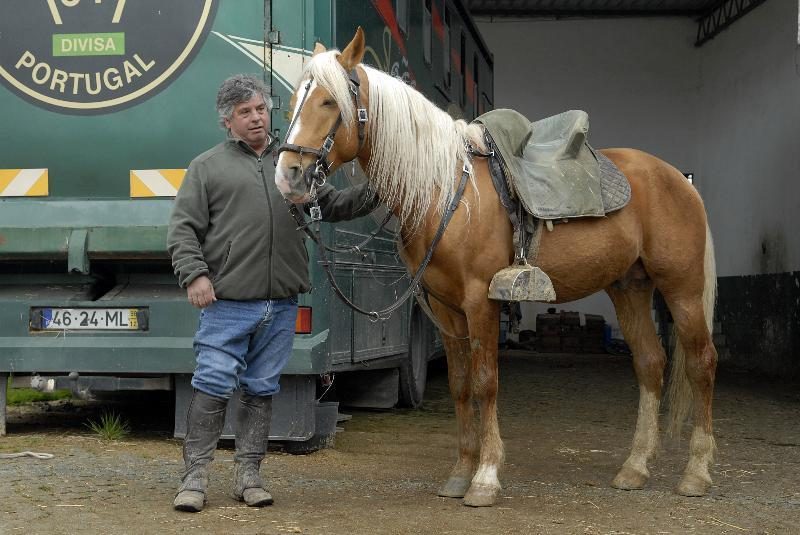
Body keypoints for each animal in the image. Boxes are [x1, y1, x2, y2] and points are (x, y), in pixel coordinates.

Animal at [276, 28, 720, 506]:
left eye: (328, 101)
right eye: (294, 101)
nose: (289, 176)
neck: (445, 189)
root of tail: (679, 180)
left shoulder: (479, 301)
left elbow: (485, 381)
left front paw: (485, 478)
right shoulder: (446, 308)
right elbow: (459, 384)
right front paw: (459, 474)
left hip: (681, 288)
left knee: (701, 362)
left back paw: (696, 473)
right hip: (630, 288)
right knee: (651, 364)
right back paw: (634, 468)